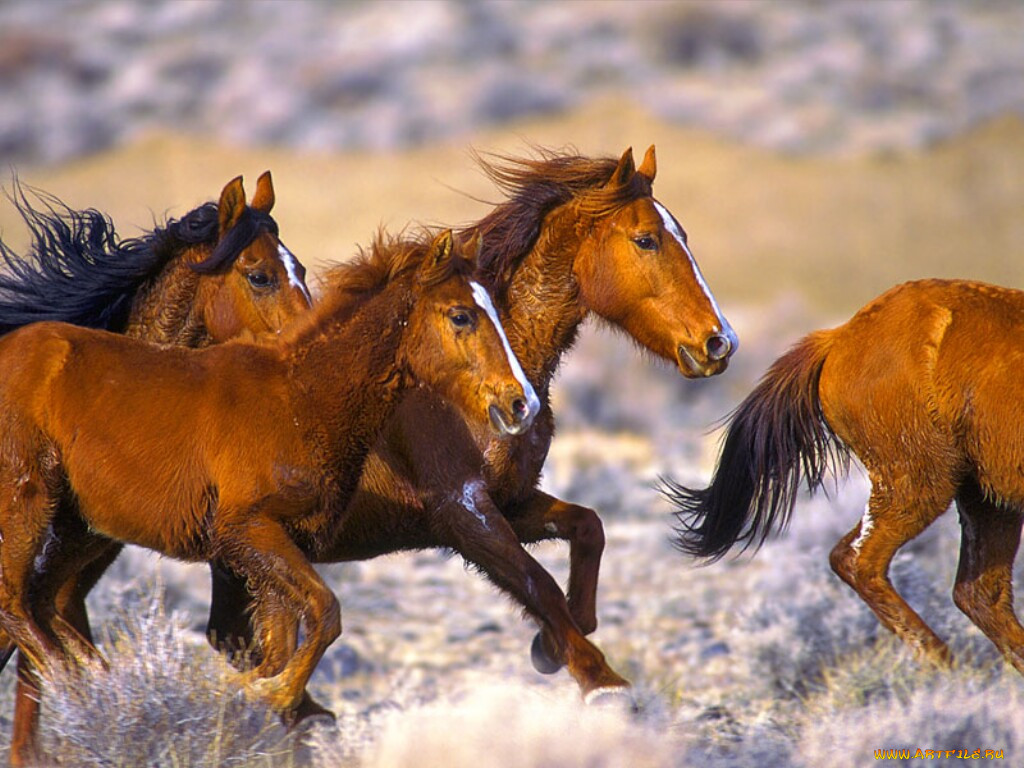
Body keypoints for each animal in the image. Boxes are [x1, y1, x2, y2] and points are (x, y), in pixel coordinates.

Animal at [0, 228, 540, 720]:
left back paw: (105, 683)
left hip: (80, 527)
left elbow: (286, 640)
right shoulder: (248, 530)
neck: (299, 400)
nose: (523, 404)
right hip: (29, 504)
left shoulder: (284, 546)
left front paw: (255, 690)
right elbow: (325, 613)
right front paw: (268, 692)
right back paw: (84, 689)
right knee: (15, 603)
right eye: (461, 315)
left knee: (44, 601)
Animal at [205, 144, 737, 704]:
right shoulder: (461, 510)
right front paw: (600, 682)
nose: (719, 342)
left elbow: (587, 528)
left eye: (682, 236)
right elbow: (538, 585)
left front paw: (553, 645)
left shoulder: (509, 500)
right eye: (646, 239)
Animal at [667, 280, 1024, 675]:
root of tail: (840, 337)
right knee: (860, 561)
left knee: (980, 593)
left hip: (985, 497)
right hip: (919, 484)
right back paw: (941, 661)